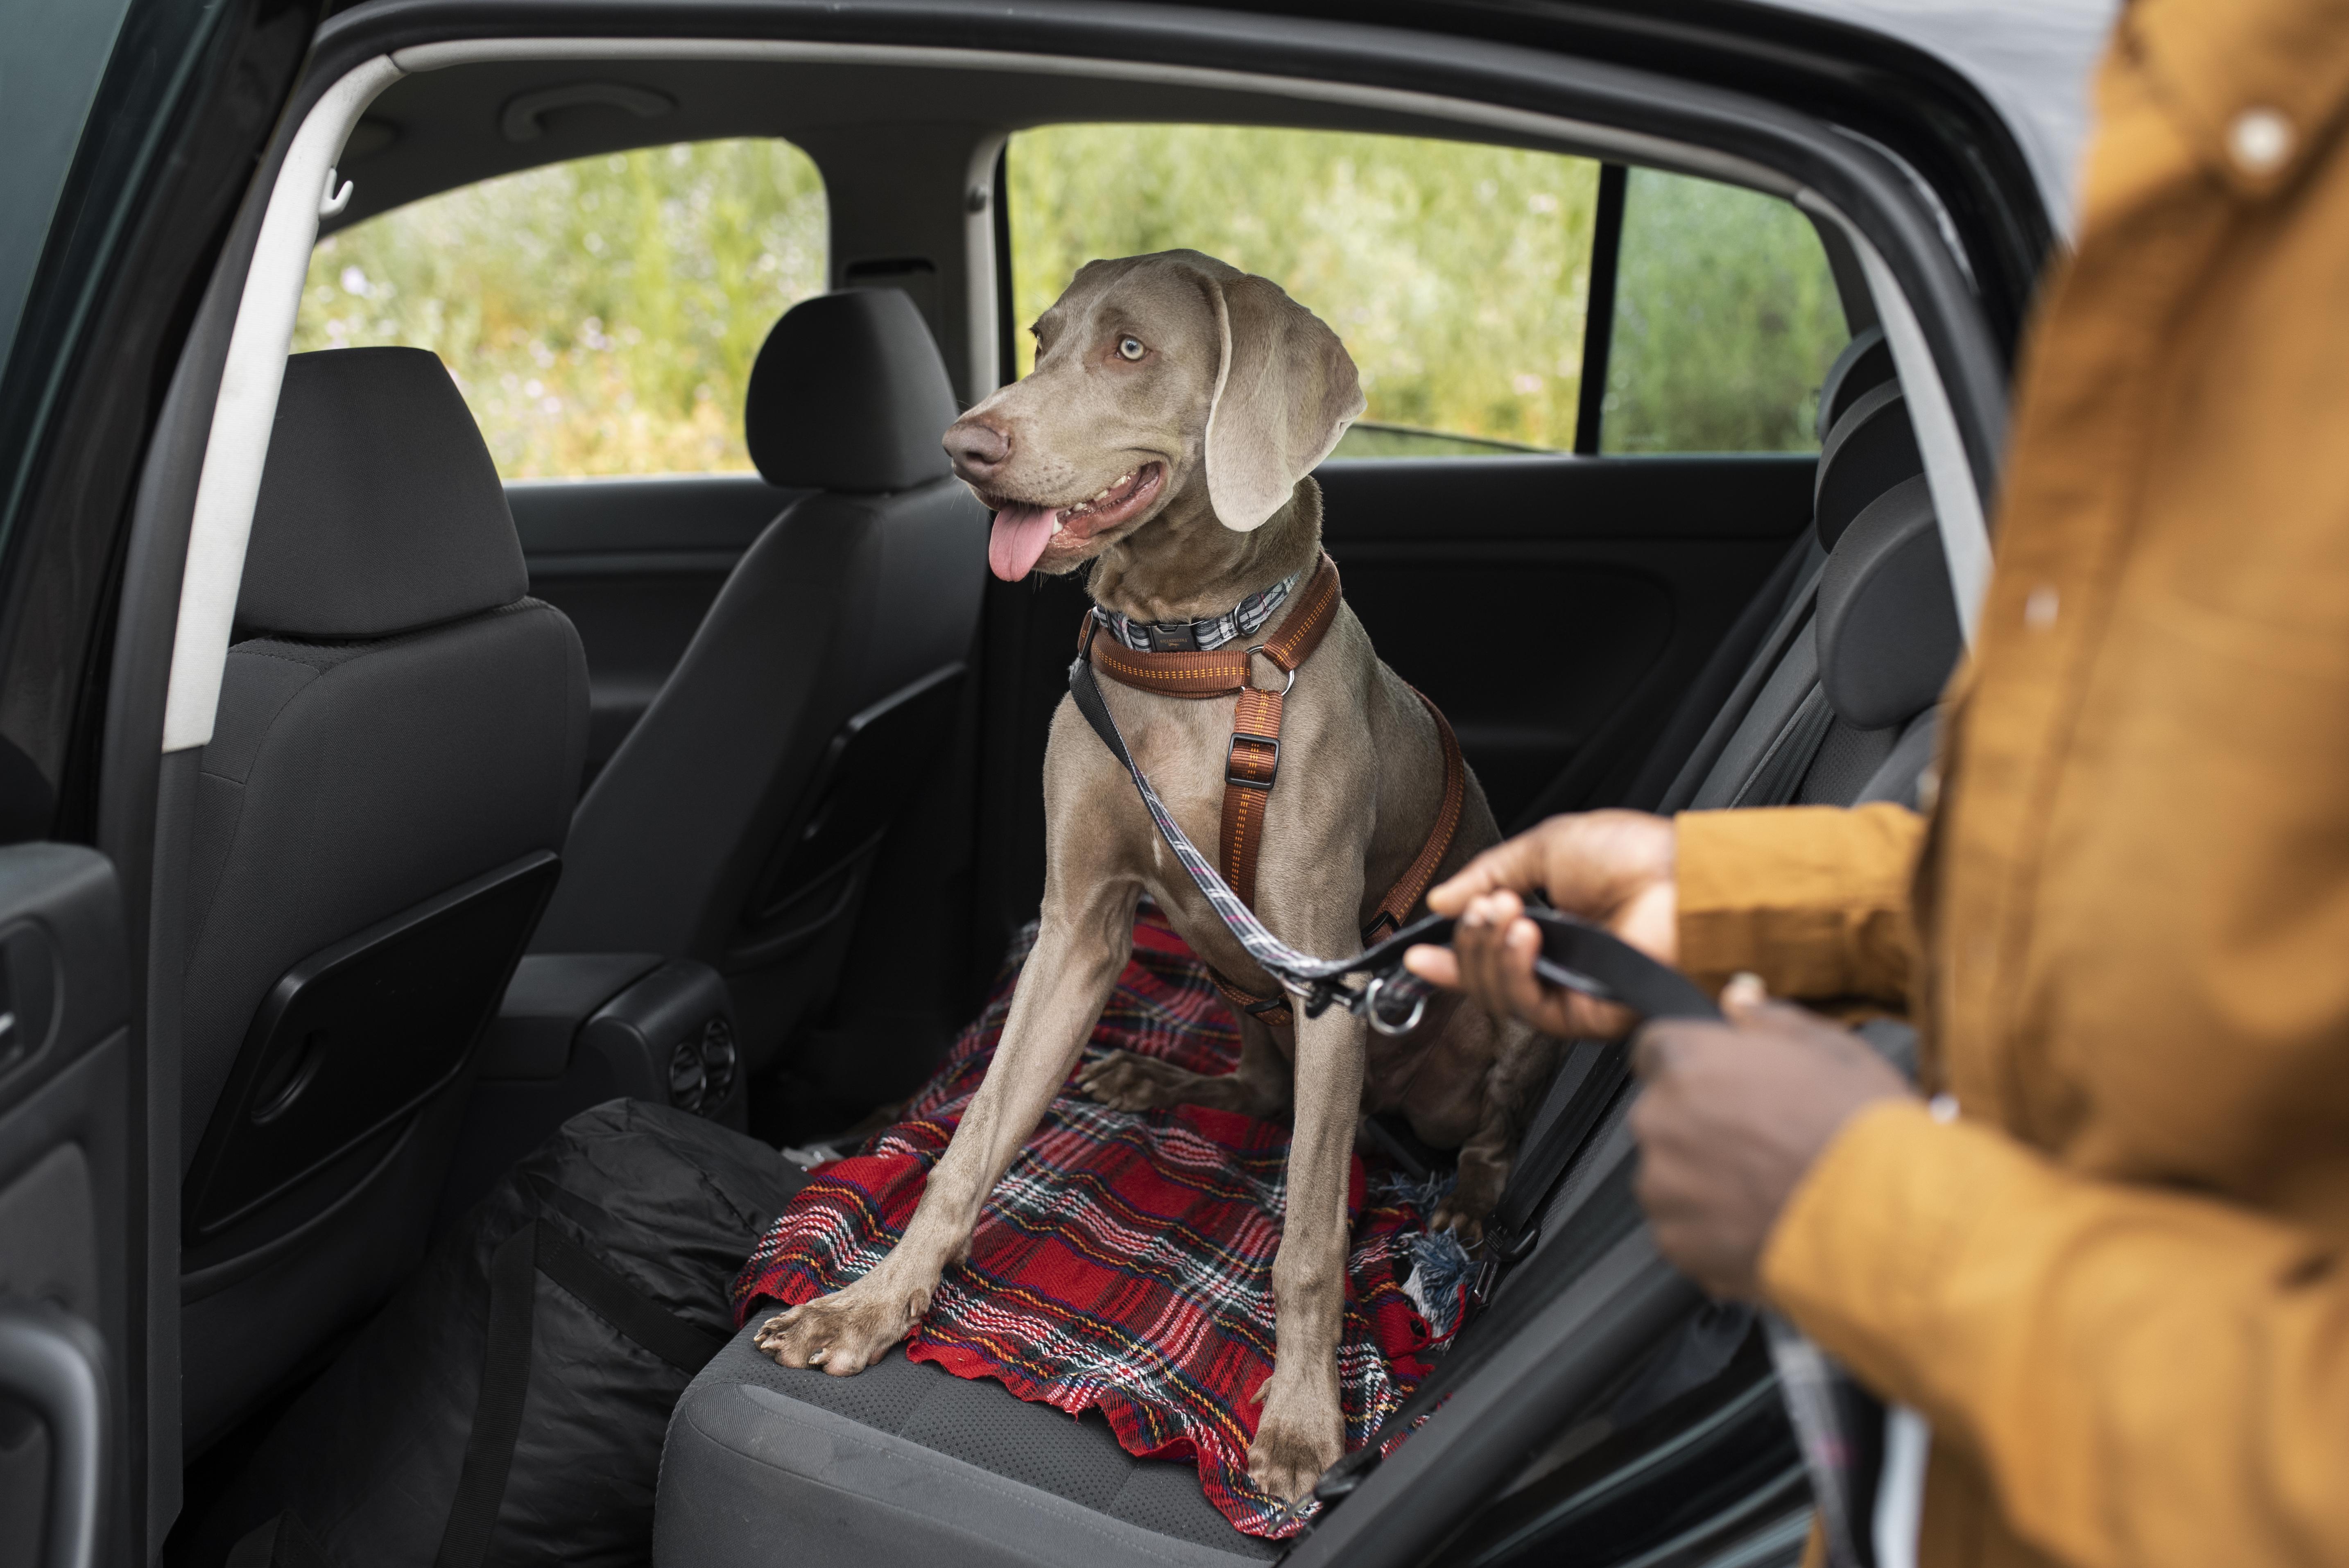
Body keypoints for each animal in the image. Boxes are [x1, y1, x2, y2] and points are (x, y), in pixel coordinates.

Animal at [756, 251, 1559, 1502]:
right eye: (1041, 338)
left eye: (1130, 350)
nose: (961, 445)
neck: (1190, 652)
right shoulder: (1074, 930)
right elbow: (969, 1147)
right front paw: (871, 1306)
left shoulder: (1327, 983)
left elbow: (1309, 1242)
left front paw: (1298, 1423)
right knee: (1261, 1091)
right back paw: (1150, 1079)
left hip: (1497, 989)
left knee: (1476, 1135)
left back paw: (1467, 1213)